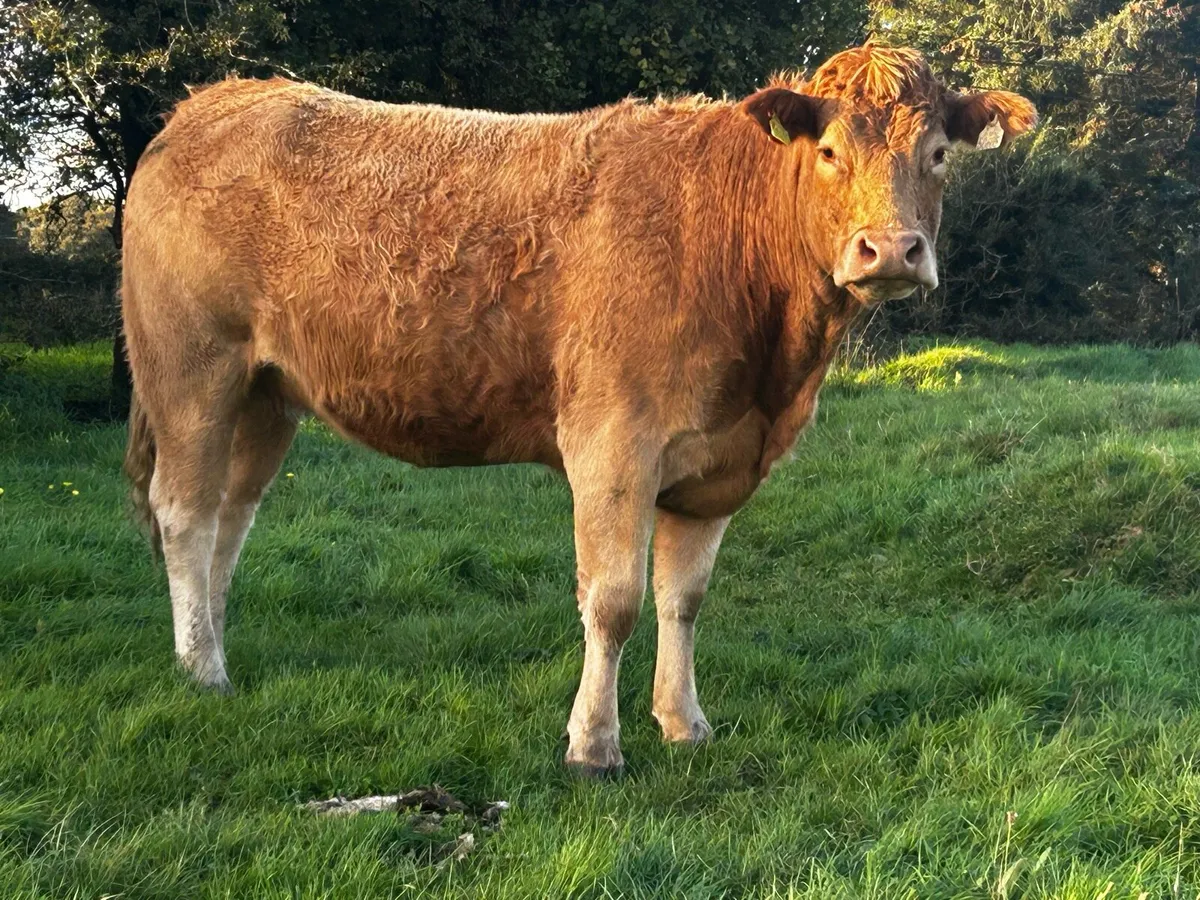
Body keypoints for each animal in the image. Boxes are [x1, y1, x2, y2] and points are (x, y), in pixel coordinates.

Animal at [122, 42, 1036, 776]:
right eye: (831, 150)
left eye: (940, 153)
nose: (891, 251)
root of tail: (214, 101)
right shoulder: (613, 439)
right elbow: (615, 599)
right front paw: (595, 746)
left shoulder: (719, 461)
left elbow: (683, 598)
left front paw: (684, 722)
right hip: (192, 368)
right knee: (185, 510)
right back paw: (203, 669)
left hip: (268, 393)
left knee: (231, 515)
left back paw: (210, 644)